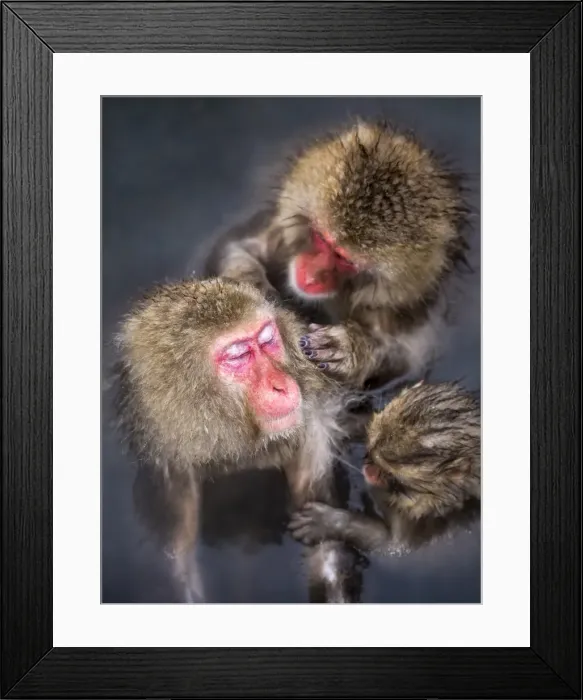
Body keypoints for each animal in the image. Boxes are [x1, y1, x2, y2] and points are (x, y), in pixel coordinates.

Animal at [112, 276, 361, 603]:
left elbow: (325, 551)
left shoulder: (310, 430)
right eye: (239, 355)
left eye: (267, 340)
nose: (281, 385)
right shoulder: (169, 460)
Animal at [206, 119, 470, 393]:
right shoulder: (282, 239)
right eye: (322, 239)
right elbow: (235, 247)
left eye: (345, 259)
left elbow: (407, 360)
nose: (311, 276)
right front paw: (252, 284)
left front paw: (353, 349)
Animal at [288, 381, 480, 555]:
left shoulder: (429, 525)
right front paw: (344, 420)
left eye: (391, 472)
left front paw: (322, 521)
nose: (369, 468)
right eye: (371, 447)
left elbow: (388, 546)